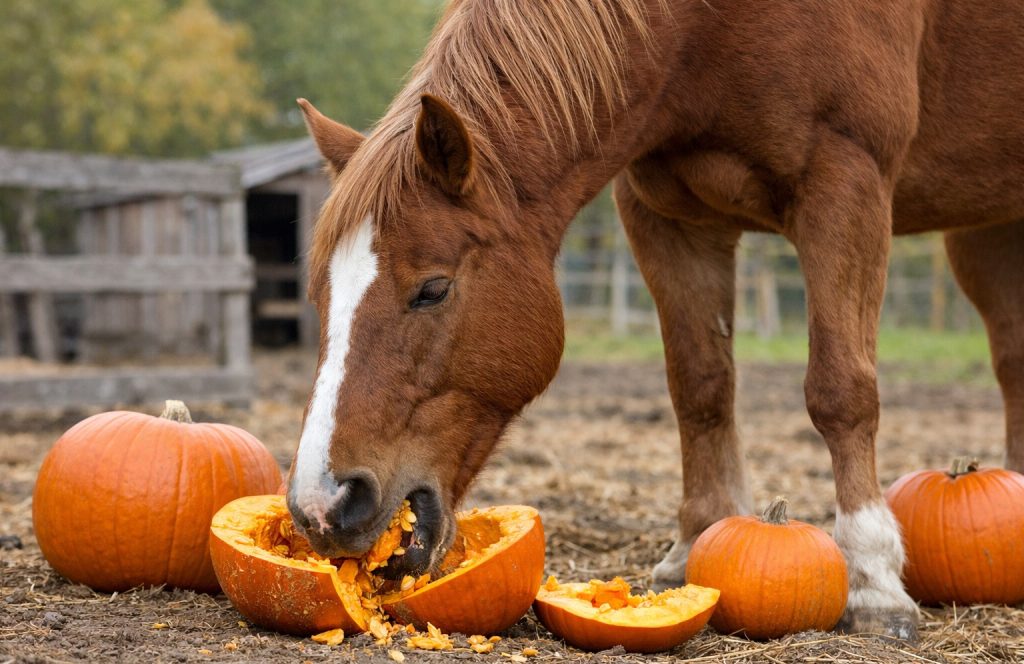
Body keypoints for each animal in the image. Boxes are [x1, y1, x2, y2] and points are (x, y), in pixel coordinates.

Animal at [285, 0, 1024, 640]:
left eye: (433, 290)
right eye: (318, 295)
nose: (323, 508)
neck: (702, 26)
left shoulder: (846, 182)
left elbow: (842, 391)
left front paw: (872, 577)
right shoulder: (666, 215)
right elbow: (699, 387)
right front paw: (694, 542)